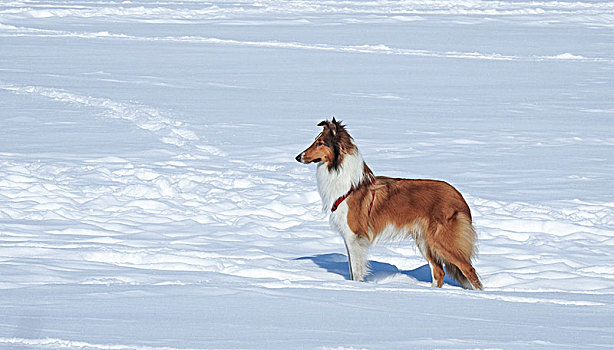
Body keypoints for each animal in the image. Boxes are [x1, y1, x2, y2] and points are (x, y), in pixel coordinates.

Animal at [296, 118, 484, 290]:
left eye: (320, 142)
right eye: (316, 140)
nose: (298, 157)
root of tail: (460, 197)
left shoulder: (354, 236)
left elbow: (356, 271)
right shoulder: (350, 238)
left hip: (442, 242)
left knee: (469, 270)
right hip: (425, 241)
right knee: (439, 272)